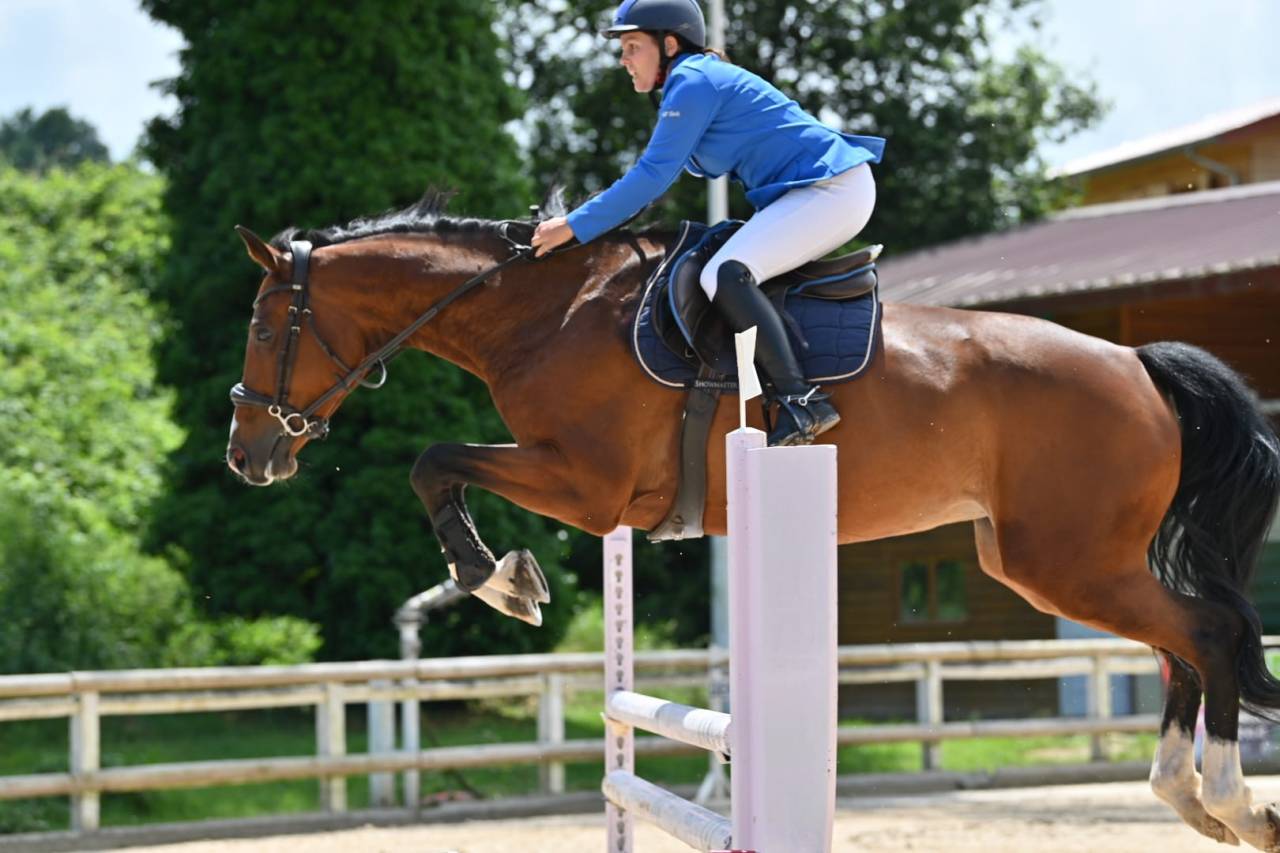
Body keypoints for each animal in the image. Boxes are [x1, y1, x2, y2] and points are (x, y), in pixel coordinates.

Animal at [227, 191, 1280, 850]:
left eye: (266, 326)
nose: (248, 455)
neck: (544, 311)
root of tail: (1138, 363)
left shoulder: (587, 486)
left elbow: (433, 461)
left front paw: (501, 578)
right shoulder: (588, 492)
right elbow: (438, 465)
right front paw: (507, 576)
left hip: (1067, 561)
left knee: (1206, 632)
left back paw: (1233, 799)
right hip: (1061, 562)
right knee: (1183, 646)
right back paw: (1191, 798)